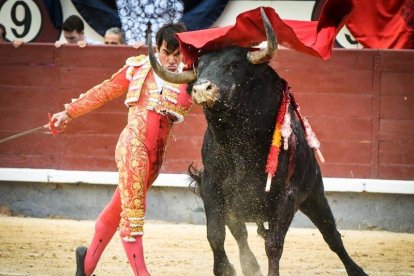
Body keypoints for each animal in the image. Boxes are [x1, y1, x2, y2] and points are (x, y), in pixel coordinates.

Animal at [148, 10, 366, 276]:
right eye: (198, 67)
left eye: (234, 65)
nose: (201, 89)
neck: (239, 142)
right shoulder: (212, 187)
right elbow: (215, 235)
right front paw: (225, 269)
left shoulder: (286, 195)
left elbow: (274, 245)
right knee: (240, 234)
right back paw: (250, 266)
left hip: (315, 194)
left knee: (332, 236)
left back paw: (357, 270)